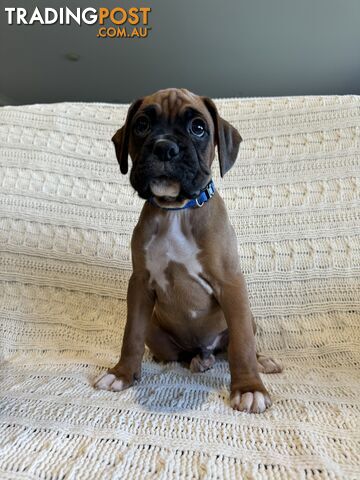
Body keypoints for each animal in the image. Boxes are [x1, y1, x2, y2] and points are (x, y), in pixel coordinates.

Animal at [95, 89, 282, 412]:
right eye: (141, 125)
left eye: (198, 128)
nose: (165, 147)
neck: (177, 210)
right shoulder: (140, 285)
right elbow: (131, 334)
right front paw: (121, 374)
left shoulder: (231, 285)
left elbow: (242, 344)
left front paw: (249, 388)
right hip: (157, 334)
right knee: (179, 354)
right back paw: (198, 361)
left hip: (247, 316)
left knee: (236, 344)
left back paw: (258, 361)